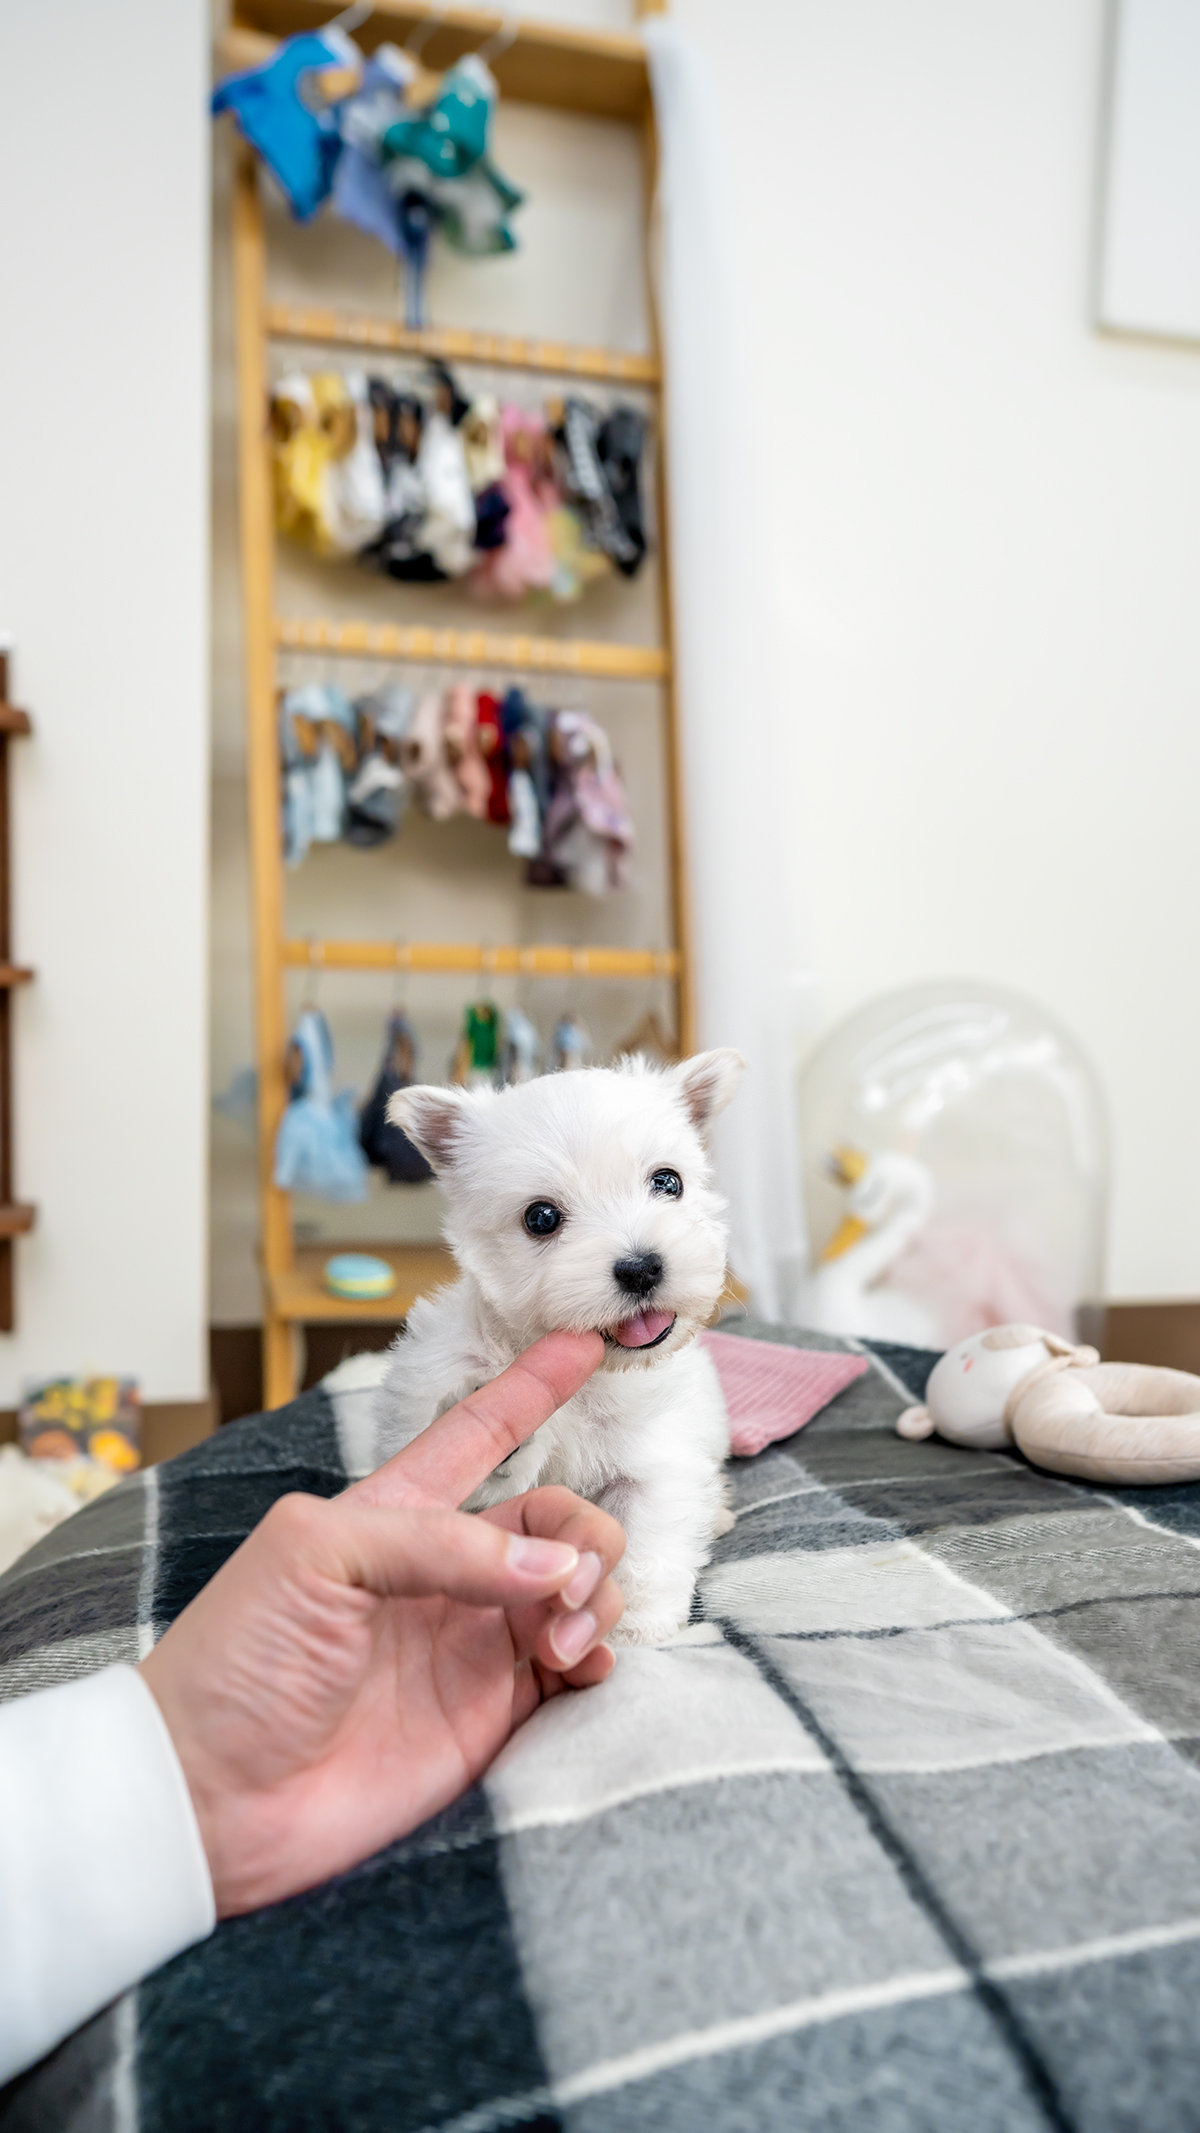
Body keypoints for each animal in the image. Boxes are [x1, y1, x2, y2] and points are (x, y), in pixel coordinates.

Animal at [375, 1057, 746, 1638]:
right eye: (541, 1218)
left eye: (668, 1182)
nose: (641, 1267)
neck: (594, 1377)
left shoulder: (654, 1463)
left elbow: (648, 1544)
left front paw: (636, 1628)